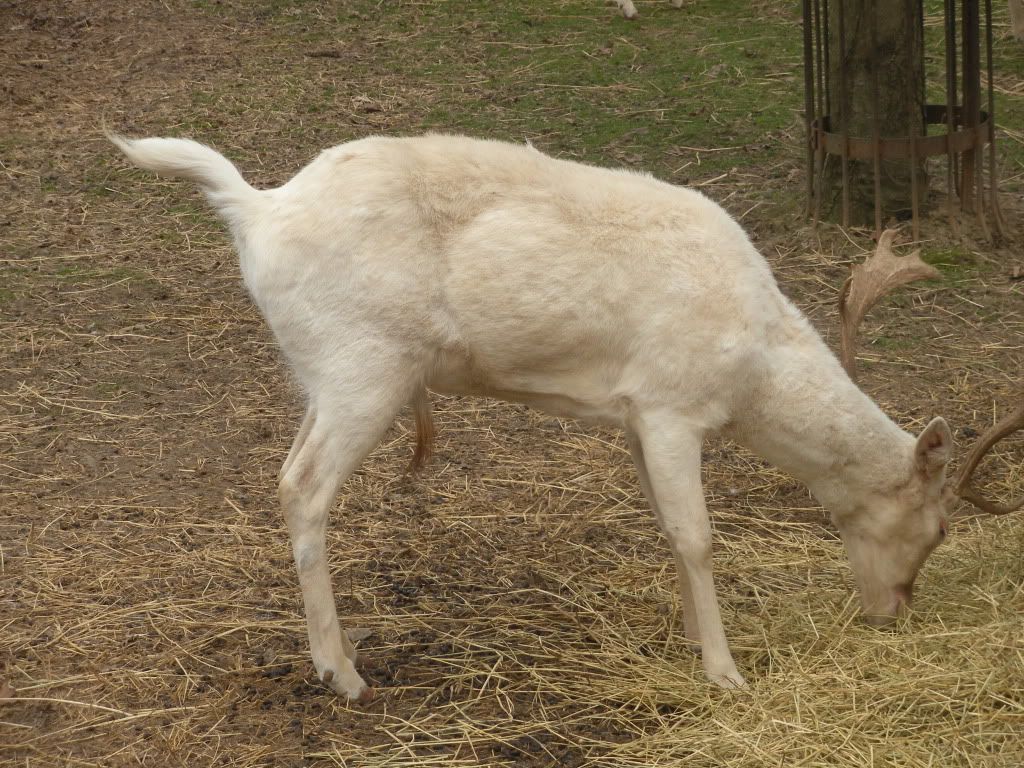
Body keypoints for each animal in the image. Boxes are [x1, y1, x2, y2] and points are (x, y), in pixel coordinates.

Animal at [111, 132, 960, 701]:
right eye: (941, 526)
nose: (894, 611)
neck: (752, 365)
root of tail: (258, 208)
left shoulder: (634, 416)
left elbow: (667, 529)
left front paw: (694, 639)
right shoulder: (672, 404)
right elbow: (698, 535)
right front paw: (726, 675)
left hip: (322, 376)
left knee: (291, 469)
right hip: (366, 366)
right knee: (302, 485)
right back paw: (342, 671)